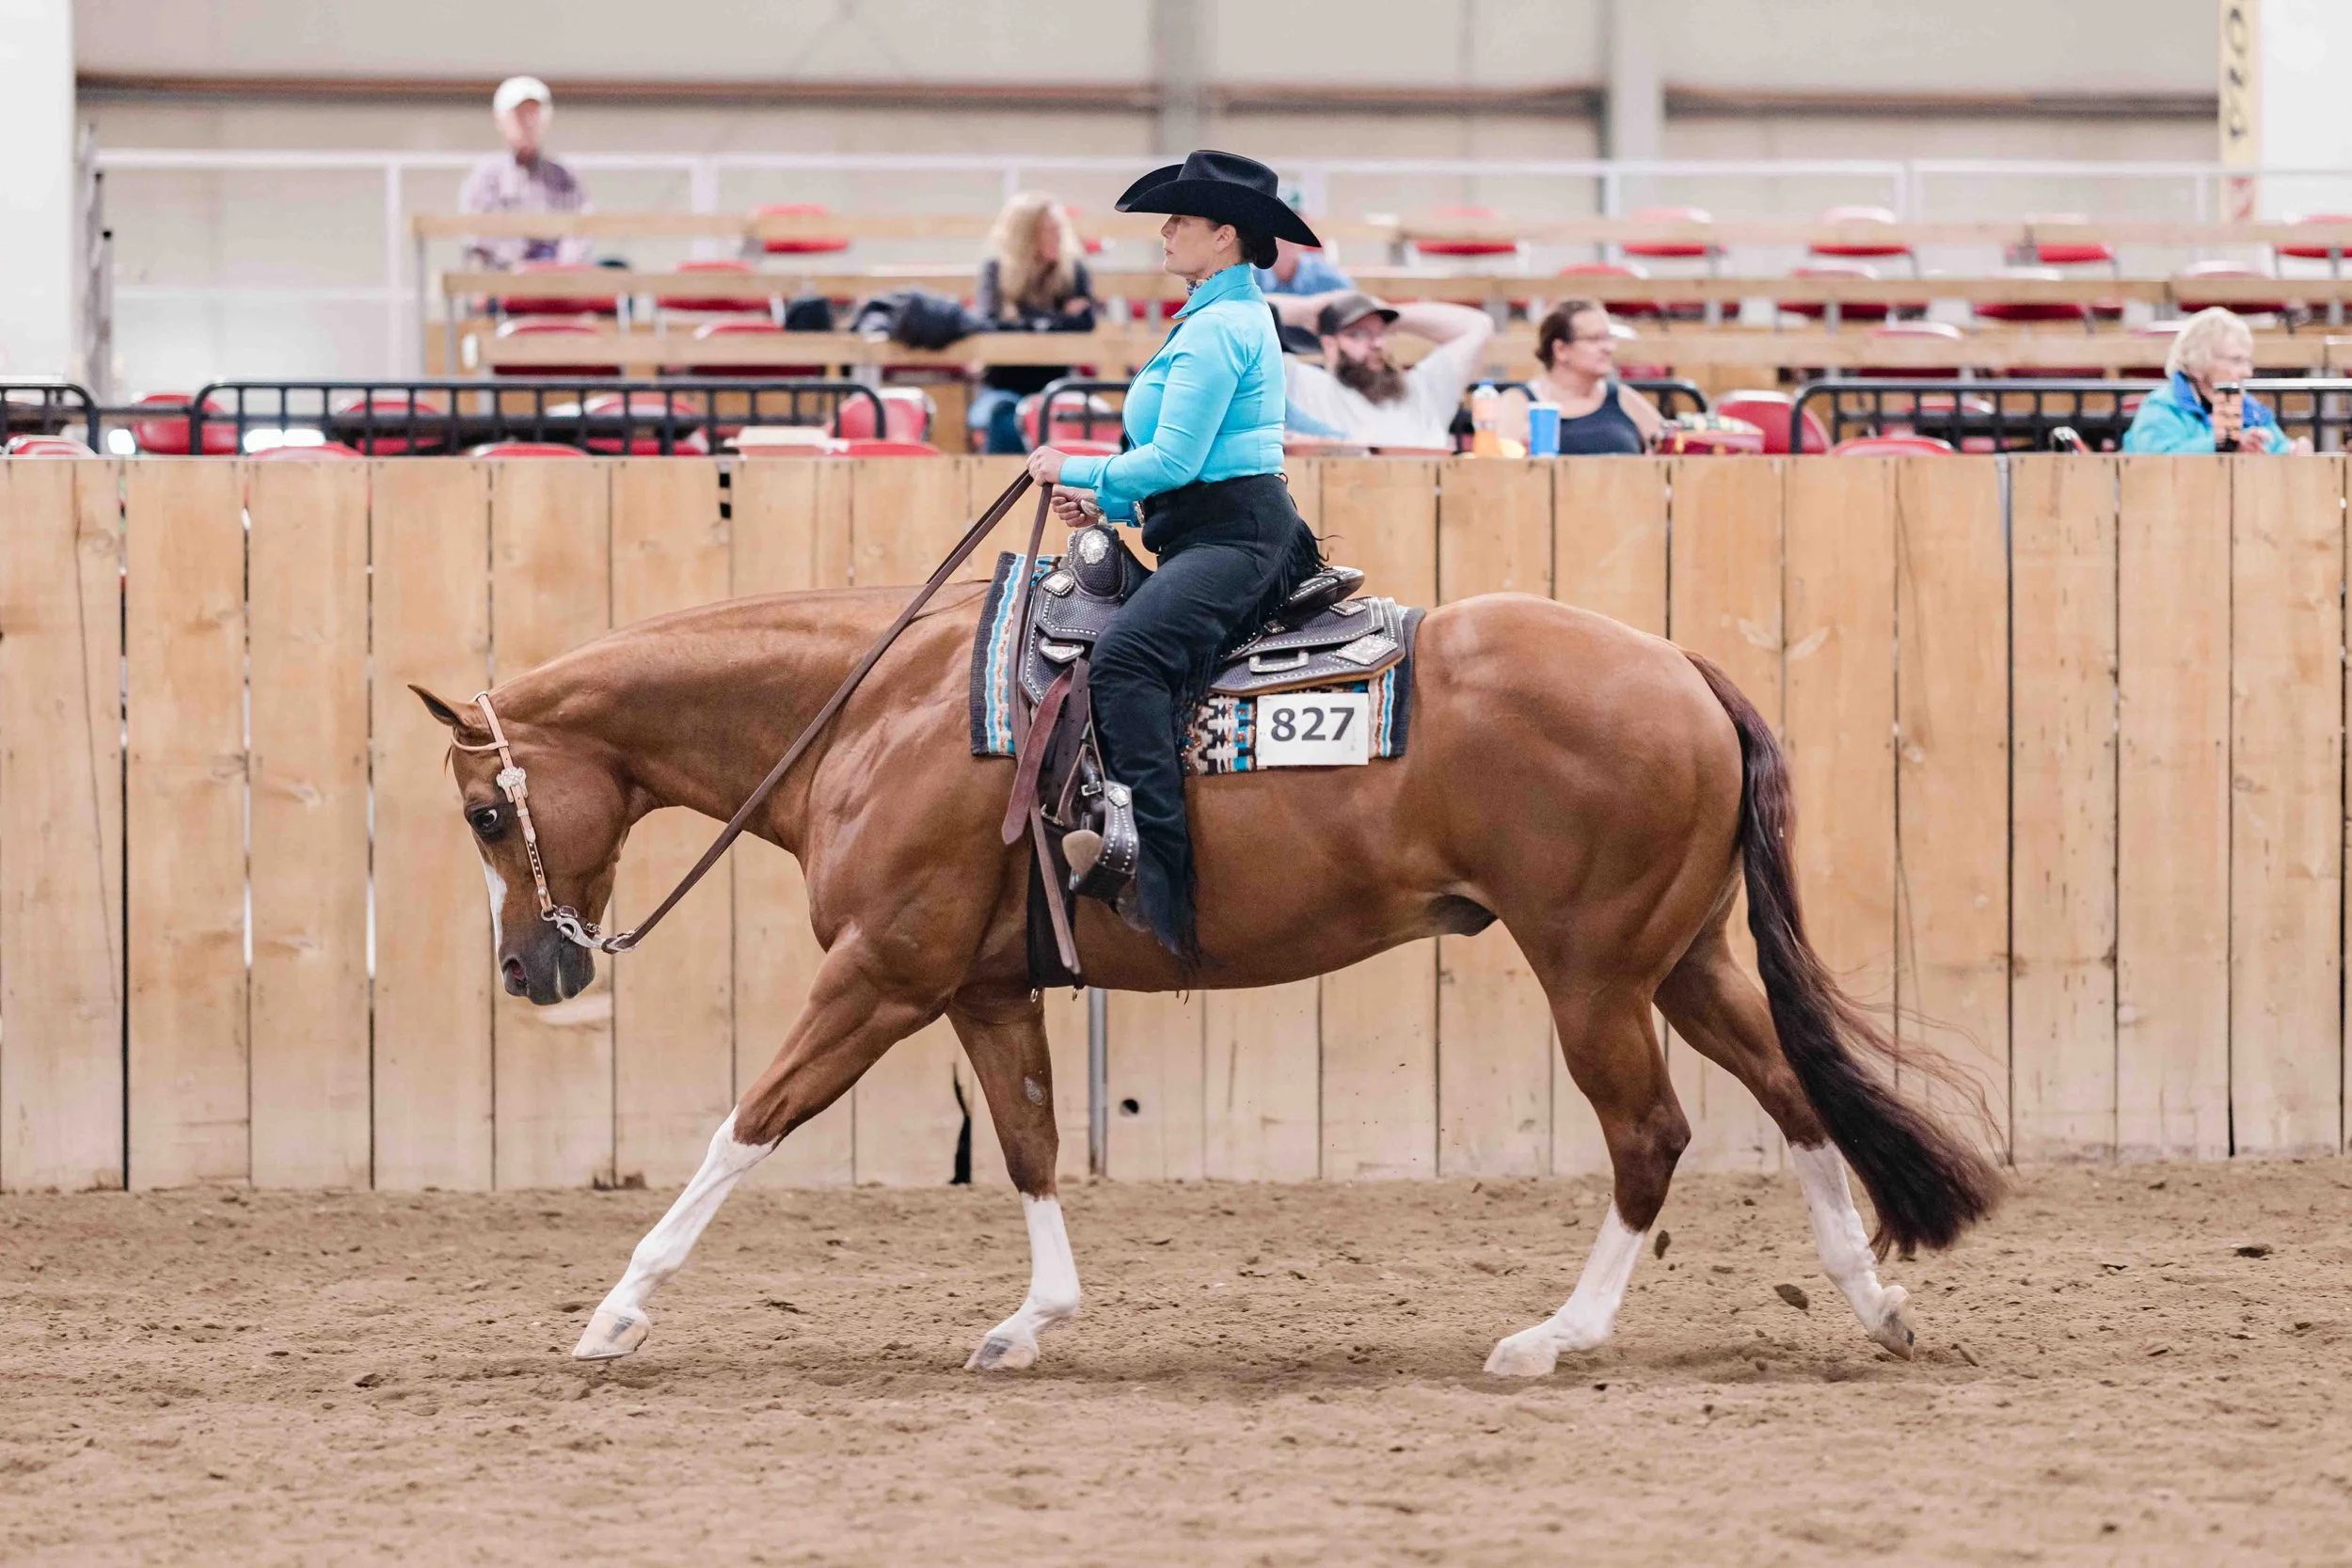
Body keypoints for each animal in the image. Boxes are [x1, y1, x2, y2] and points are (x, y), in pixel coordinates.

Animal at [413, 532, 2001, 1378]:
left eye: (489, 810)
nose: (531, 970)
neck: (879, 708)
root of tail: (1680, 667)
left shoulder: (880, 974)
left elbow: (748, 1124)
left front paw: (615, 1310)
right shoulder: (982, 985)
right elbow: (1031, 1142)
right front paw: (1033, 1320)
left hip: (1594, 973)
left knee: (1653, 1134)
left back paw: (1555, 1333)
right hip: (1680, 957)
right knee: (1793, 1095)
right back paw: (1875, 1301)